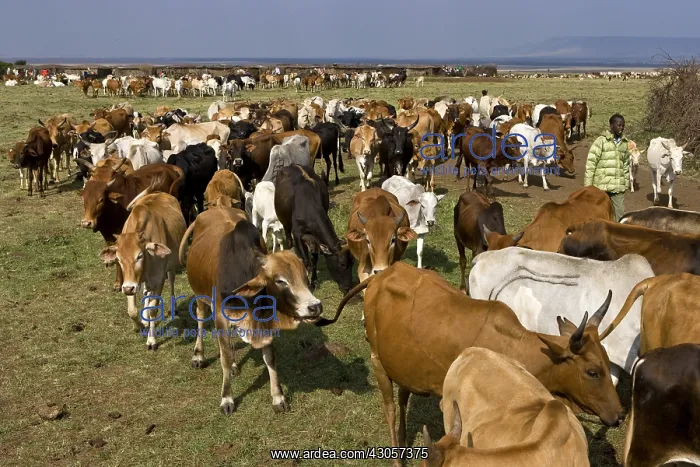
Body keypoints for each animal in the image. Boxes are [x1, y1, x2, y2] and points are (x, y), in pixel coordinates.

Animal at [99, 192, 186, 350]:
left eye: (139, 256)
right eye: (119, 259)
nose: (128, 288)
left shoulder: (158, 280)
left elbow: (153, 309)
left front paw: (152, 340)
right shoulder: (130, 282)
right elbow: (132, 311)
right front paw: (138, 326)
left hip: (171, 266)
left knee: (171, 281)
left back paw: (173, 307)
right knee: (146, 292)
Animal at [178, 206, 323, 414]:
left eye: (305, 276)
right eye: (280, 281)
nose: (315, 306)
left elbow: (270, 357)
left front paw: (278, 397)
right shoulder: (220, 316)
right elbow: (223, 357)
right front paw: (227, 399)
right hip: (200, 296)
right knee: (200, 320)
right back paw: (199, 355)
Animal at [274, 164, 354, 293]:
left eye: (352, 263)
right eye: (342, 264)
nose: (348, 287)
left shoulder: (316, 237)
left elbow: (314, 258)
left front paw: (314, 282)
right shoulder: (297, 234)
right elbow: (306, 261)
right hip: (285, 222)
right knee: (289, 239)